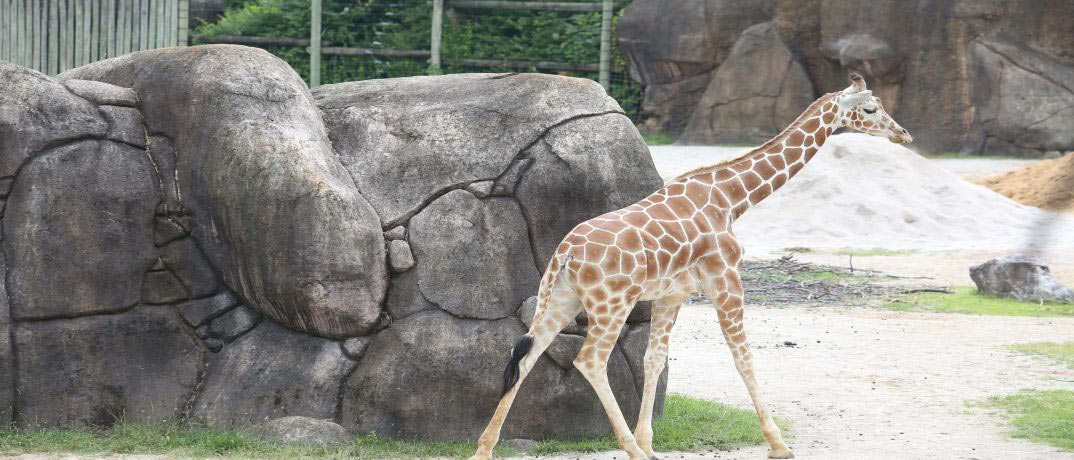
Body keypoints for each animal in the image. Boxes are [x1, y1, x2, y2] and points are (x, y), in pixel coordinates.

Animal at [466, 73, 910, 457]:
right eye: (870, 108)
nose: (903, 134)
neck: (732, 198)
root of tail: (566, 252)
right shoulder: (726, 280)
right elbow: (743, 356)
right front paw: (778, 443)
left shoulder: (672, 294)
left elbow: (653, 359)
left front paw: (649, 442)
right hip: (611, 304)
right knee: (589, 359)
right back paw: (628, 449)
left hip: (561, 299)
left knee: (527, 354)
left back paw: (484, 449)